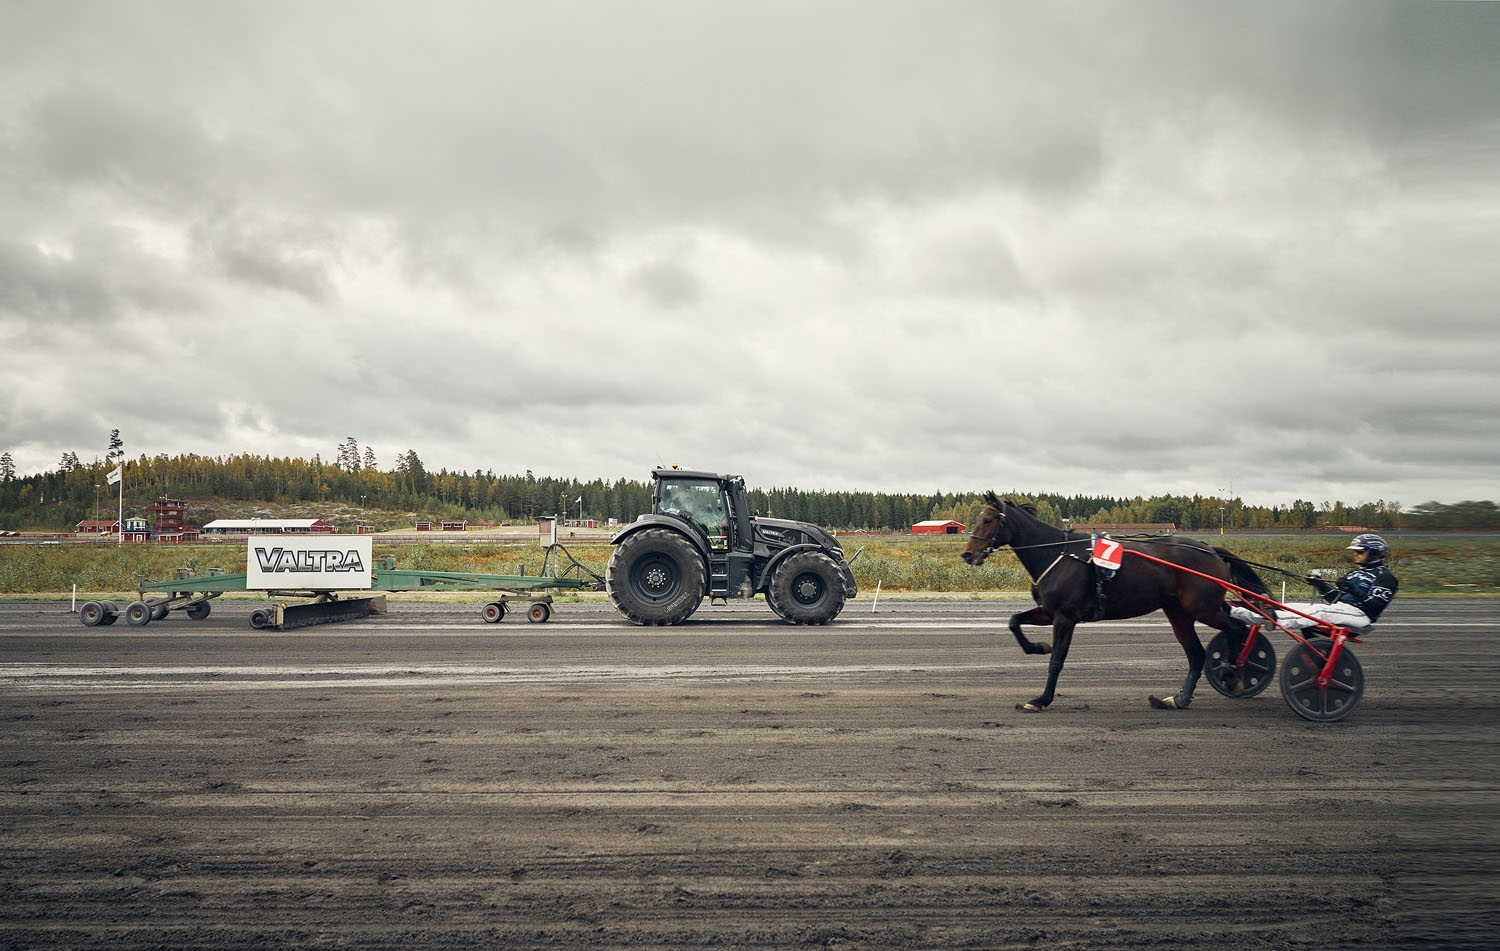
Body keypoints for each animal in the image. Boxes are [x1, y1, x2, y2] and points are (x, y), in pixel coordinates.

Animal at [960, 492, 1266, 708]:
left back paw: (1232, 674)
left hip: (1202, 608)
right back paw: (1178, 699)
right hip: (1179, 612)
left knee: (1237, 629)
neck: (1057, 553)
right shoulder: (1048, 611)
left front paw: (1041, 699)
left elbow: (1057, 660)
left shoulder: (1065, 617)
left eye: (988, 520)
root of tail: (1210, 550)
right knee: (1197, 654)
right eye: (975, 519)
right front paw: (1037, 647)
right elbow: (1014, 622)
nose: (968, 554)